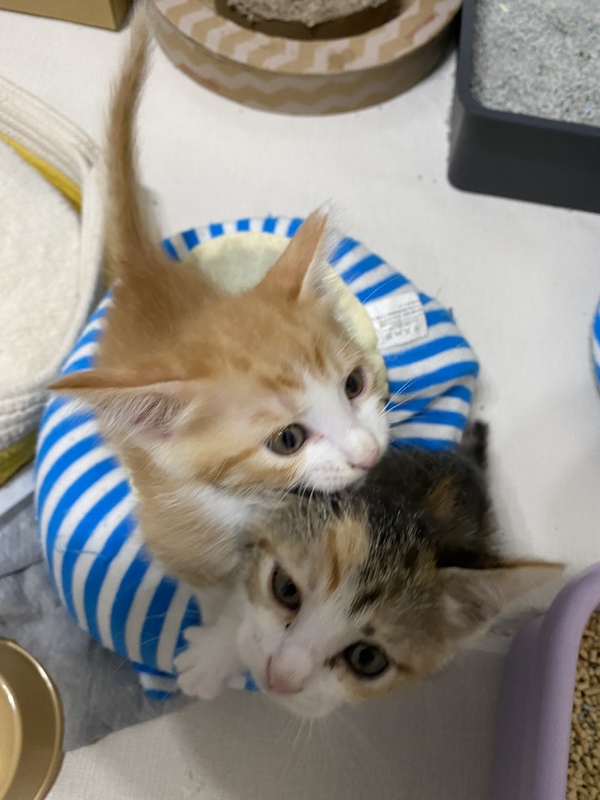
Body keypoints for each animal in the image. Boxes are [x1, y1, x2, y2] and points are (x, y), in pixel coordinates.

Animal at [49, 9, 389, 589]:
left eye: (354, 384)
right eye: (287, 440)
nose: (368, 454)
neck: (256, 501)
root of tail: (143, 271)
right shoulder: (181, 529)